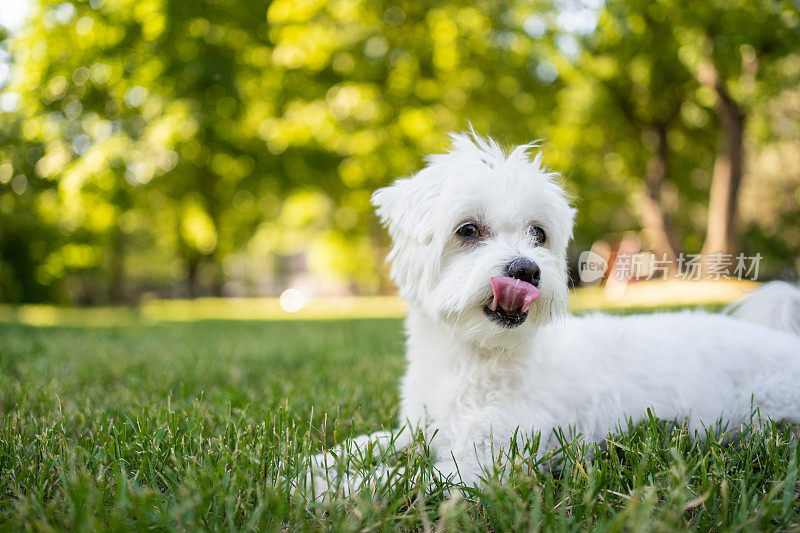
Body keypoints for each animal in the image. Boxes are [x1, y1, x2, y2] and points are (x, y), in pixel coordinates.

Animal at [302, 132, 800, 494]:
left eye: (538, 234)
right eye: (468, 230)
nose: (526, 269)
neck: (478, 357)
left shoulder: (486, 459)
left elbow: (396, 479)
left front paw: (321, 490)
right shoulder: (420, 428)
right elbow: (367, 446)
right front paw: (311, 465)